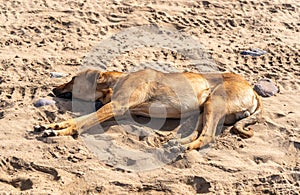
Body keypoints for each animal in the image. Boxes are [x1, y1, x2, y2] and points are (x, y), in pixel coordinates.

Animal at [35, 69, 262, 151]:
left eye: (73, 79)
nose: (53, 89)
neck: (115, 82)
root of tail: (252, 90)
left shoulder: (115, 106)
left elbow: (81, 121)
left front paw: (58, 130)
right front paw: (54, 124)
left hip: (214, 103)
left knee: (207, 136)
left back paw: (183, 148)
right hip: (203, 108)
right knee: (198, 132)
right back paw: (175, 144)